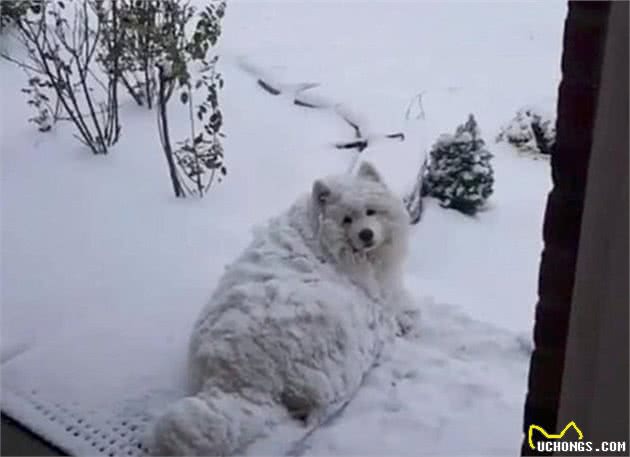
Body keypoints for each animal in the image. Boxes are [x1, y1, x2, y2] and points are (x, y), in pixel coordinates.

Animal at [150, 162, 418, 454]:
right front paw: (404, 320)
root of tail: (236, 381)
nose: (366, 234)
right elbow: (395, 305)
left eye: (371, 211)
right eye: (347, 219)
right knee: (321, 405)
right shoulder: (376, 292)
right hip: (333, 315)